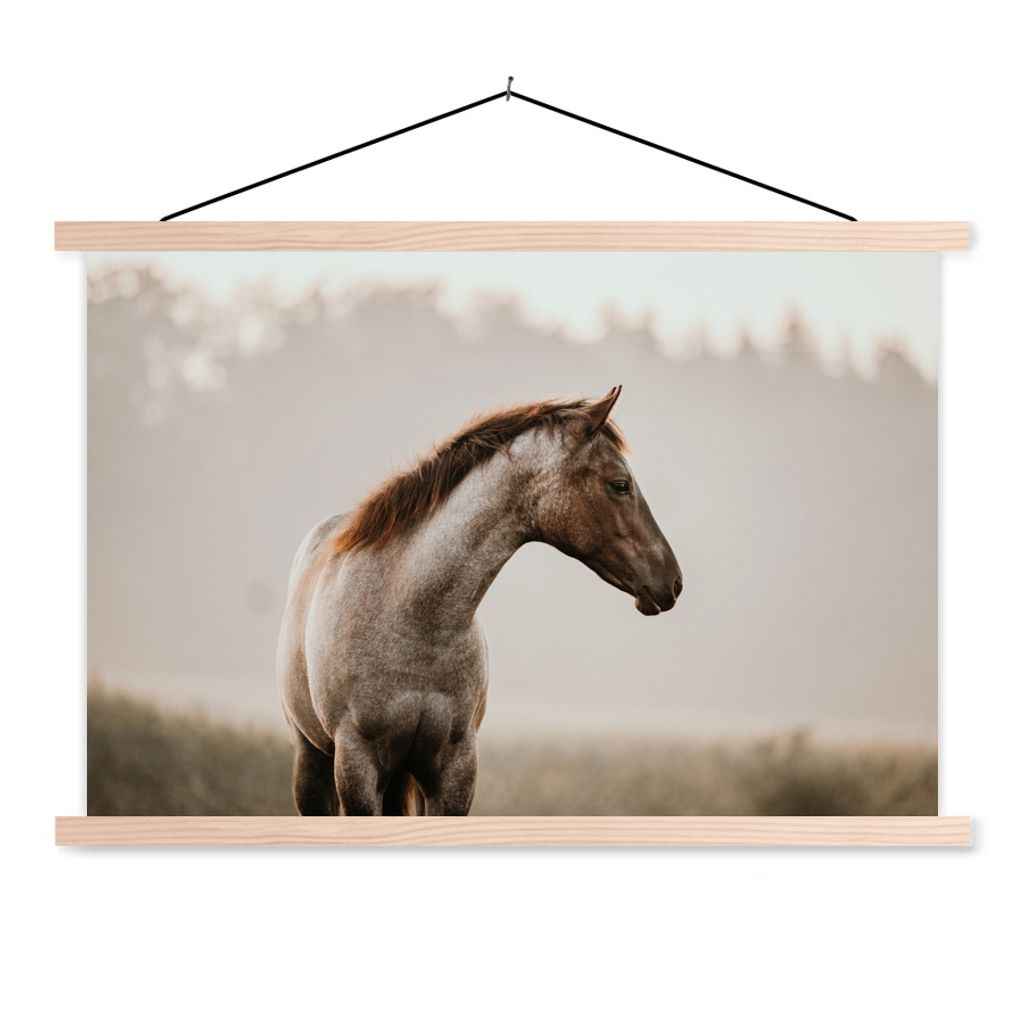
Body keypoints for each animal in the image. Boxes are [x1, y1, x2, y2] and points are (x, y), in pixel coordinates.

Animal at [276, 386, 682, 816]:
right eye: (620, 484)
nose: (672, 581)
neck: (412, 618)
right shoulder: (358, 765)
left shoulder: (455, 769)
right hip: (314, 763)